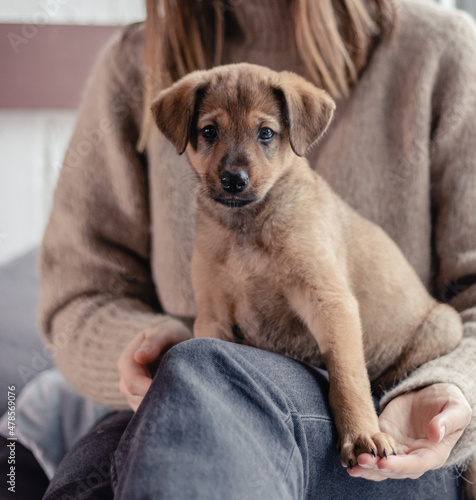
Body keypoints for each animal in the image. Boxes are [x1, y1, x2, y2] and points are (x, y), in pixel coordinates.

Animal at [151, 63, 462, 468]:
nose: (233, 180)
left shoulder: (328, 301)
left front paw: (362, 434)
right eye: (209, 131)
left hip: (444, 325)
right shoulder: (213, 316)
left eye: (266, 133)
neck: (247, 227)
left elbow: (347, 377)